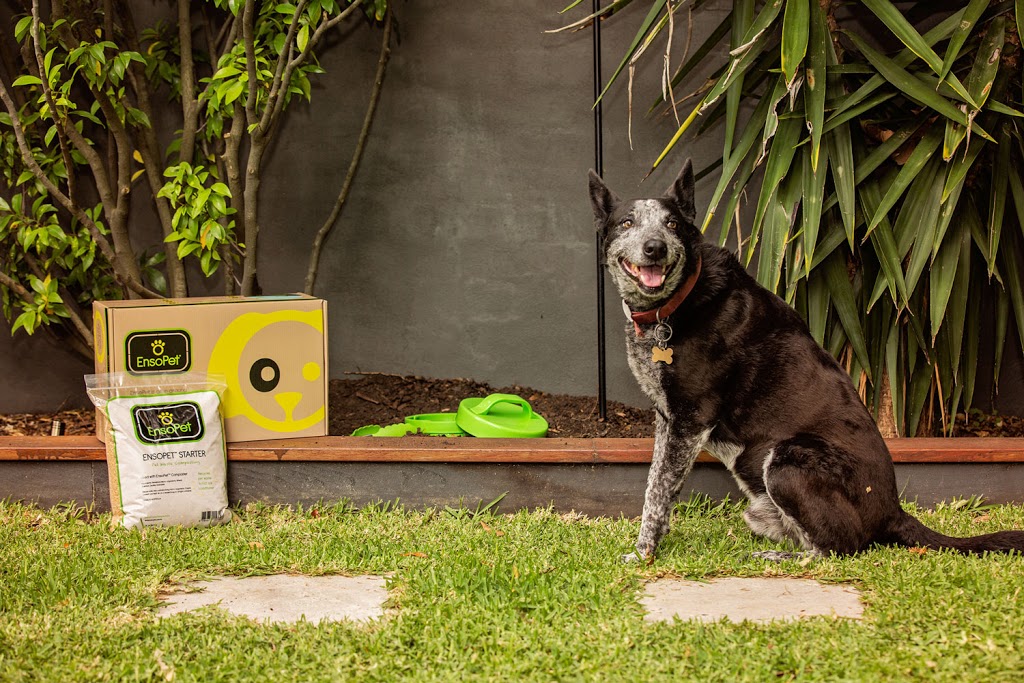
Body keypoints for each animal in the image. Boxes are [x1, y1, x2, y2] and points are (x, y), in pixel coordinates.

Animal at [589, 160, 1024, 561]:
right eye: (627, 223)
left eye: (673, 225)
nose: (655, 248)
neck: (675, 304)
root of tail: (893, 511)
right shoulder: (668, 419)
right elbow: (653, 482)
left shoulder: (691, 418)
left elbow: (659, 493)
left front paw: (644, 553)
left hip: (788, 461)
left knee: (837, 547)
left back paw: (779, 559)